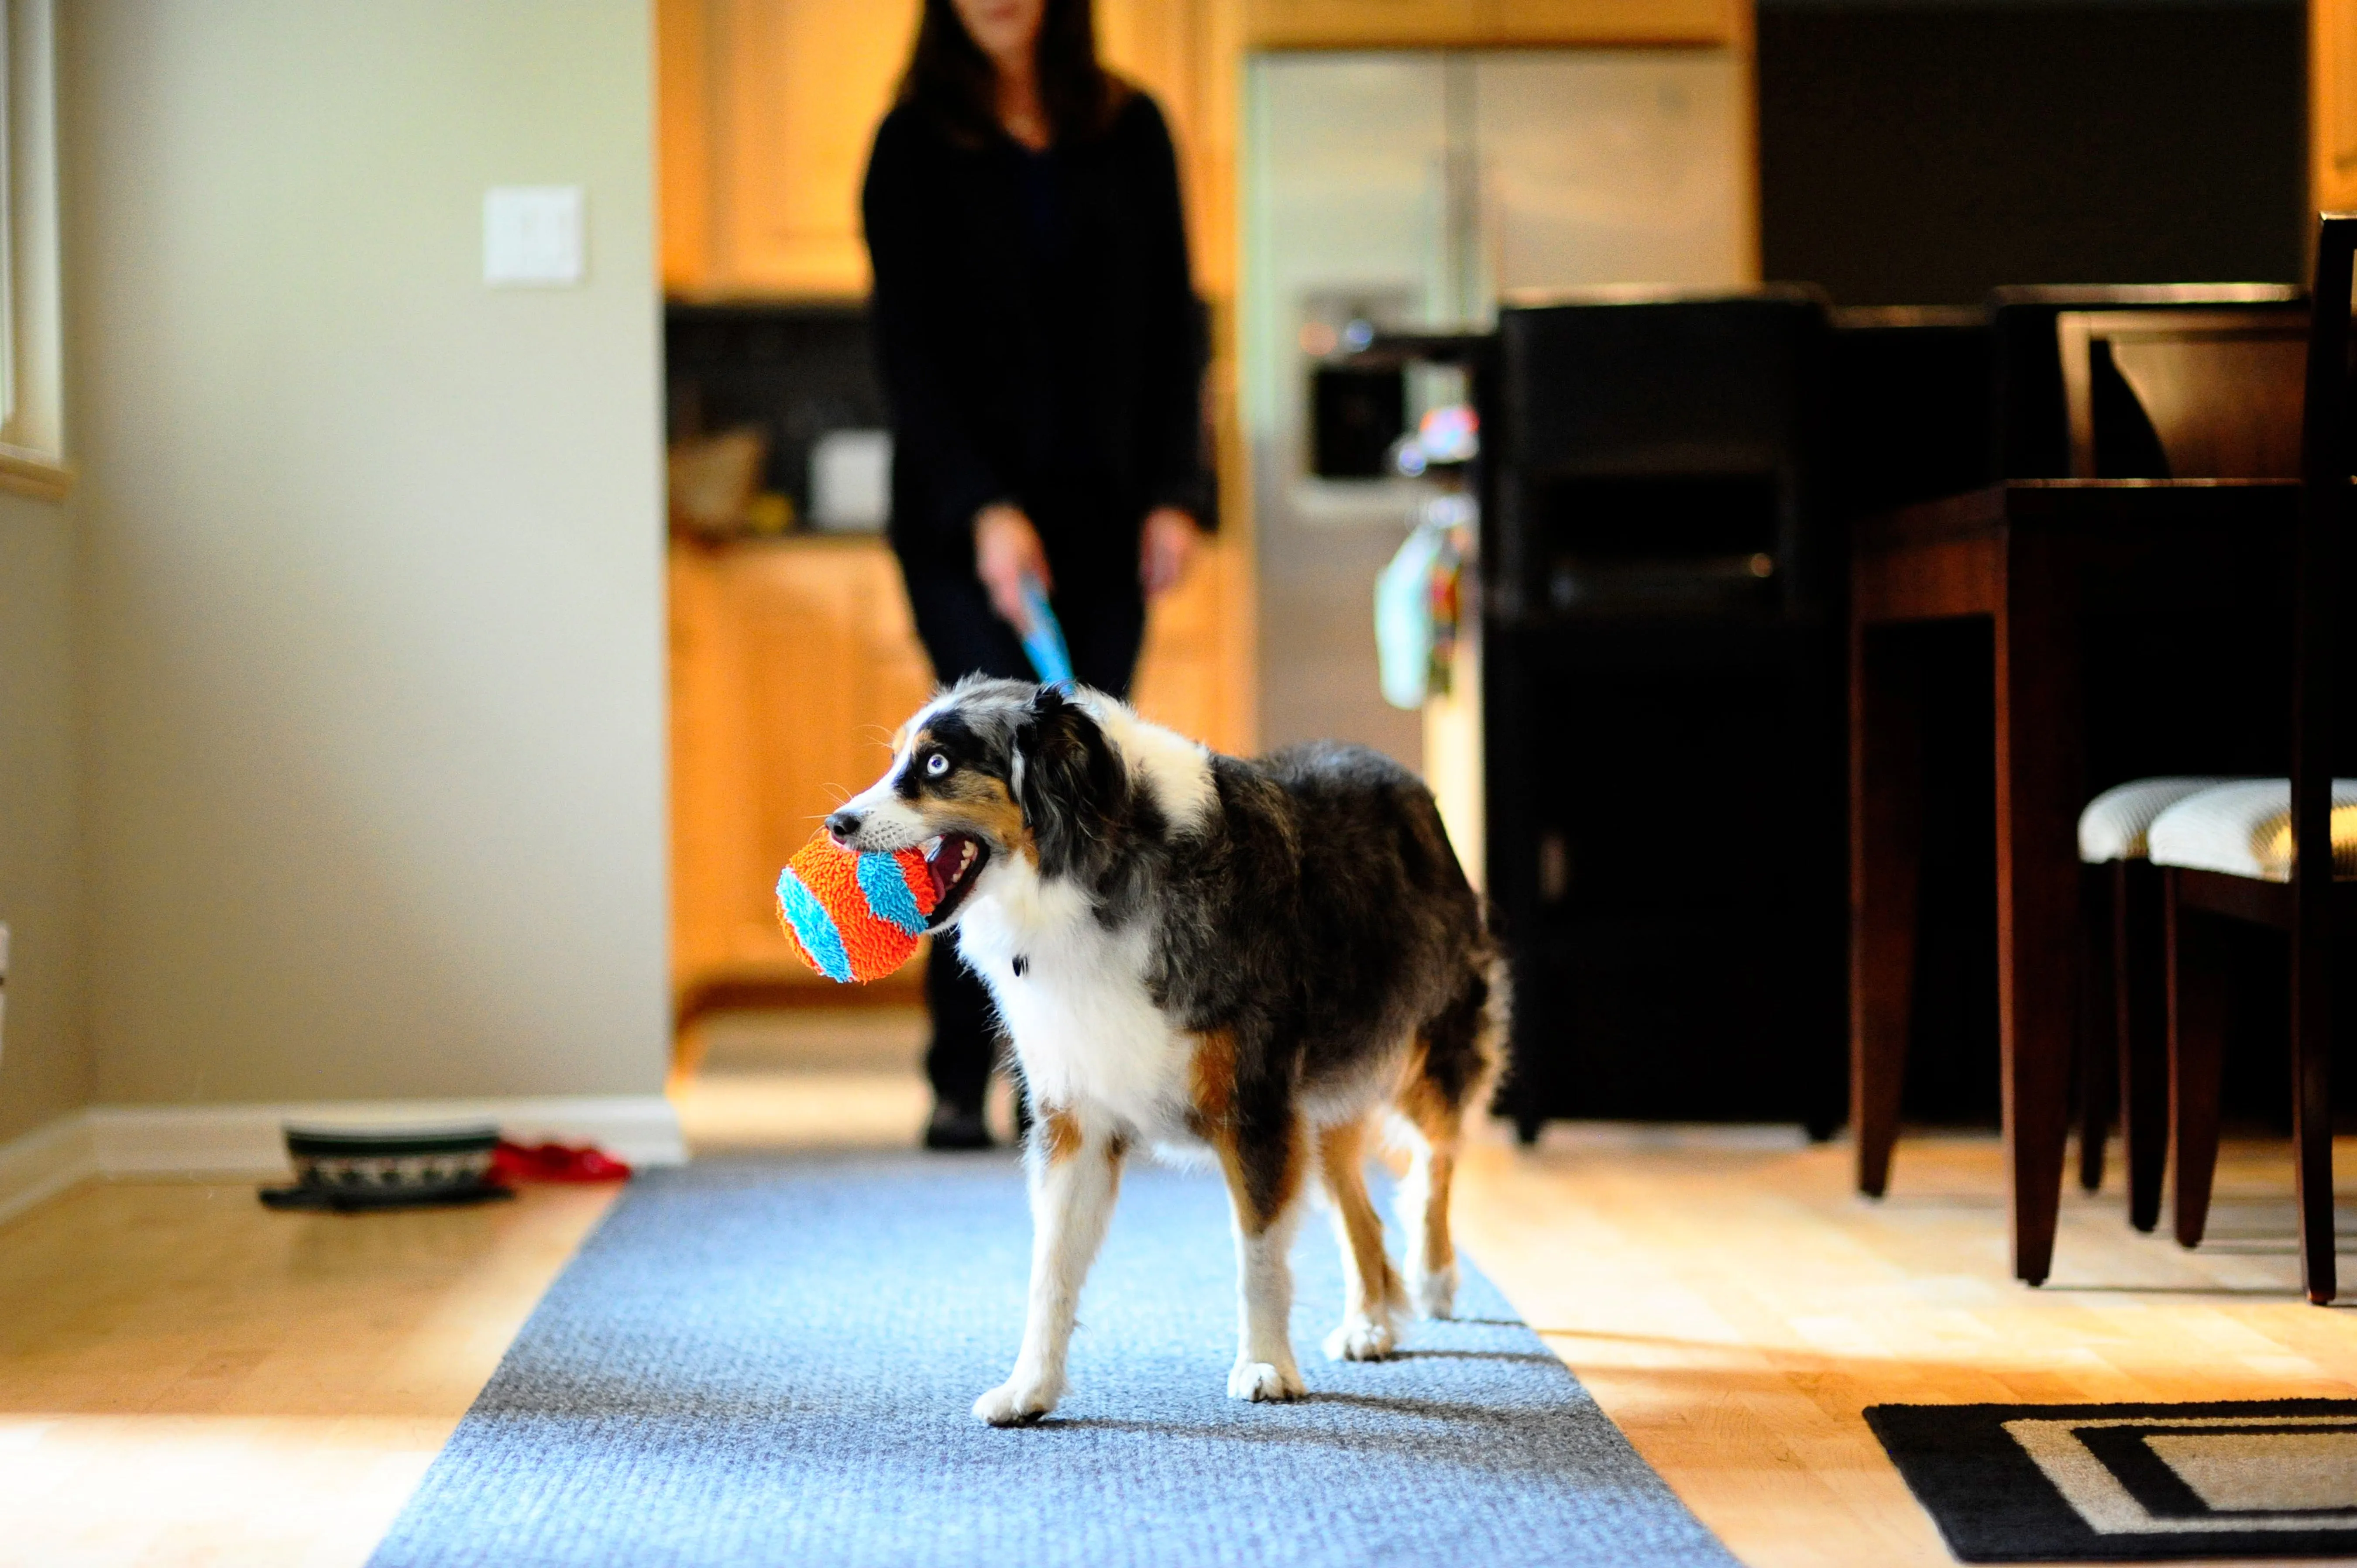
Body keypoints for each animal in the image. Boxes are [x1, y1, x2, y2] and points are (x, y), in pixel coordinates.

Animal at [820, 674, 1499, 1414]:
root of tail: (1399, 775)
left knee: (1435, 1158)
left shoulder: (1256, 1109)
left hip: (1423, 1050)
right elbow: (1050, 1269)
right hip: (1325, 1100)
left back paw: (1433, 1277)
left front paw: (1265, 1365)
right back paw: (1369, 1321)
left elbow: (1258, 1256)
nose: (837, 824)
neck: (1091, 885)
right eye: (895, 759)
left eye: (938, 763)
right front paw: (1030, 1388)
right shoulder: (1076, 1117)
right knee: (1363, 1211)